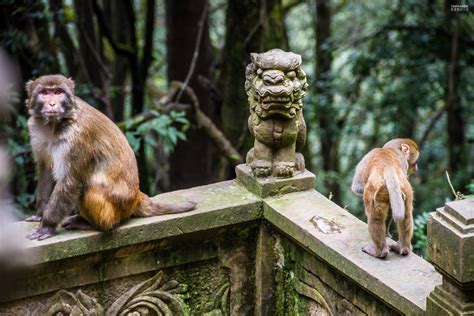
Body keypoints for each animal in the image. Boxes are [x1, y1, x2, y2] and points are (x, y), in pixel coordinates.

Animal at [23, 75, 194, 241]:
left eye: (58, 92)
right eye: (45, 93)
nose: (52, 104)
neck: (55, 125)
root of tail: (136, 196)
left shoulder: (77, 139)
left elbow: (70, 181)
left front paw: (47, 226)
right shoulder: (37, 132)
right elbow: (46, 169)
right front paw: (40, 214)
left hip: (116, 208)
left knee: (89, 188)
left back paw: (93, 224)